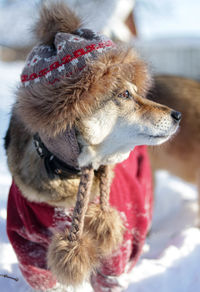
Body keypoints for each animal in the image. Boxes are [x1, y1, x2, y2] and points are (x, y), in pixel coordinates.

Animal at [3, 1, 181, 290]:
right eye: (124, 94)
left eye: (135, 91)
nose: (178, 115)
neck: (67, 177)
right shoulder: (29, 248)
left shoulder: (114, 252)